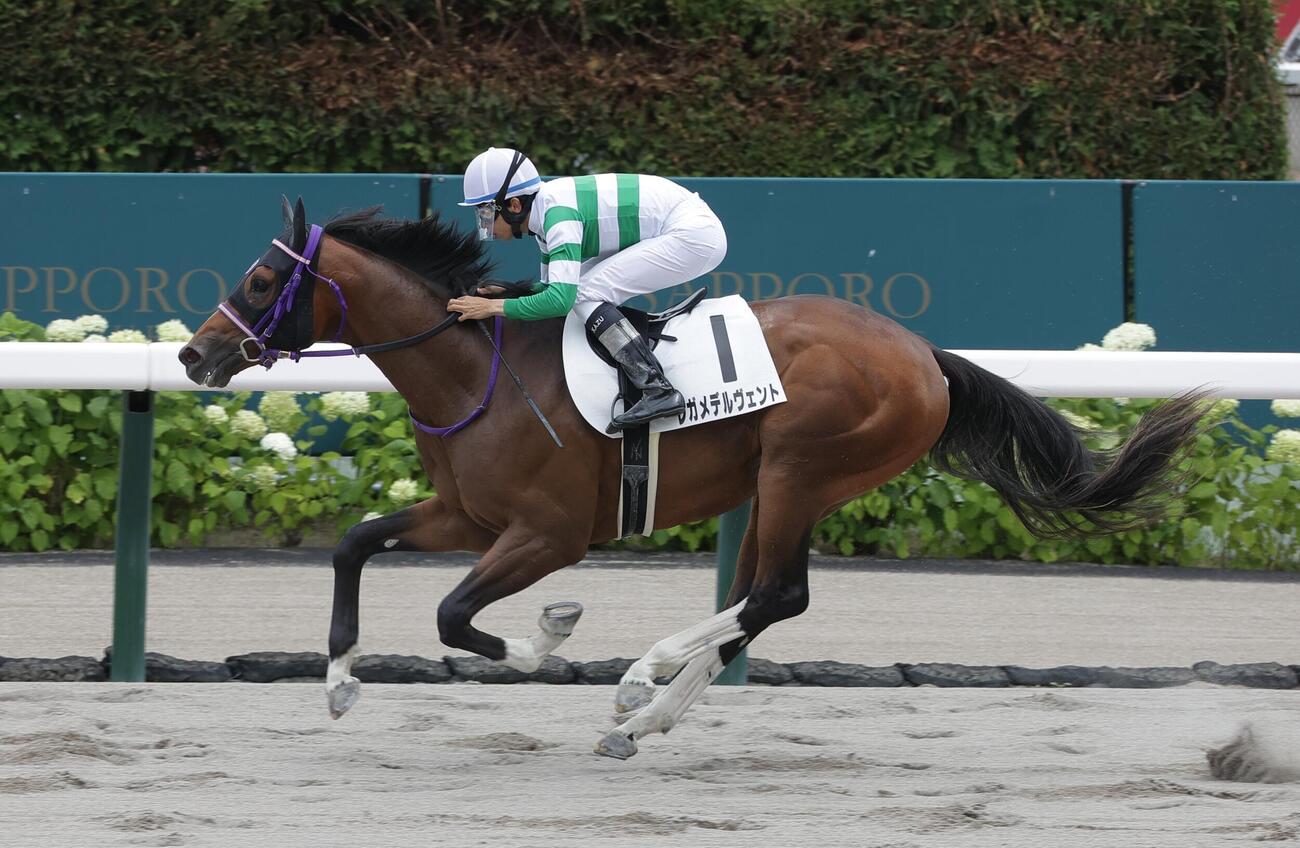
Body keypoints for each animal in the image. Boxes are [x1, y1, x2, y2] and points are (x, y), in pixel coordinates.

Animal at [179, 197, 1208, 760]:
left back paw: (641, 679)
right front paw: (339, 681)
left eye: (264, 282)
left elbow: (452, 616)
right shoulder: (467, 515)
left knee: (776, 595)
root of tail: (924, 356)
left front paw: (554, 638)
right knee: (762, 599)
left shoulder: (548, 533)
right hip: (785, 486)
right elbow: (356, 544)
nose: (194, 355)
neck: (477, 371)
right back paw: (642, 718)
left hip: (801, 467)